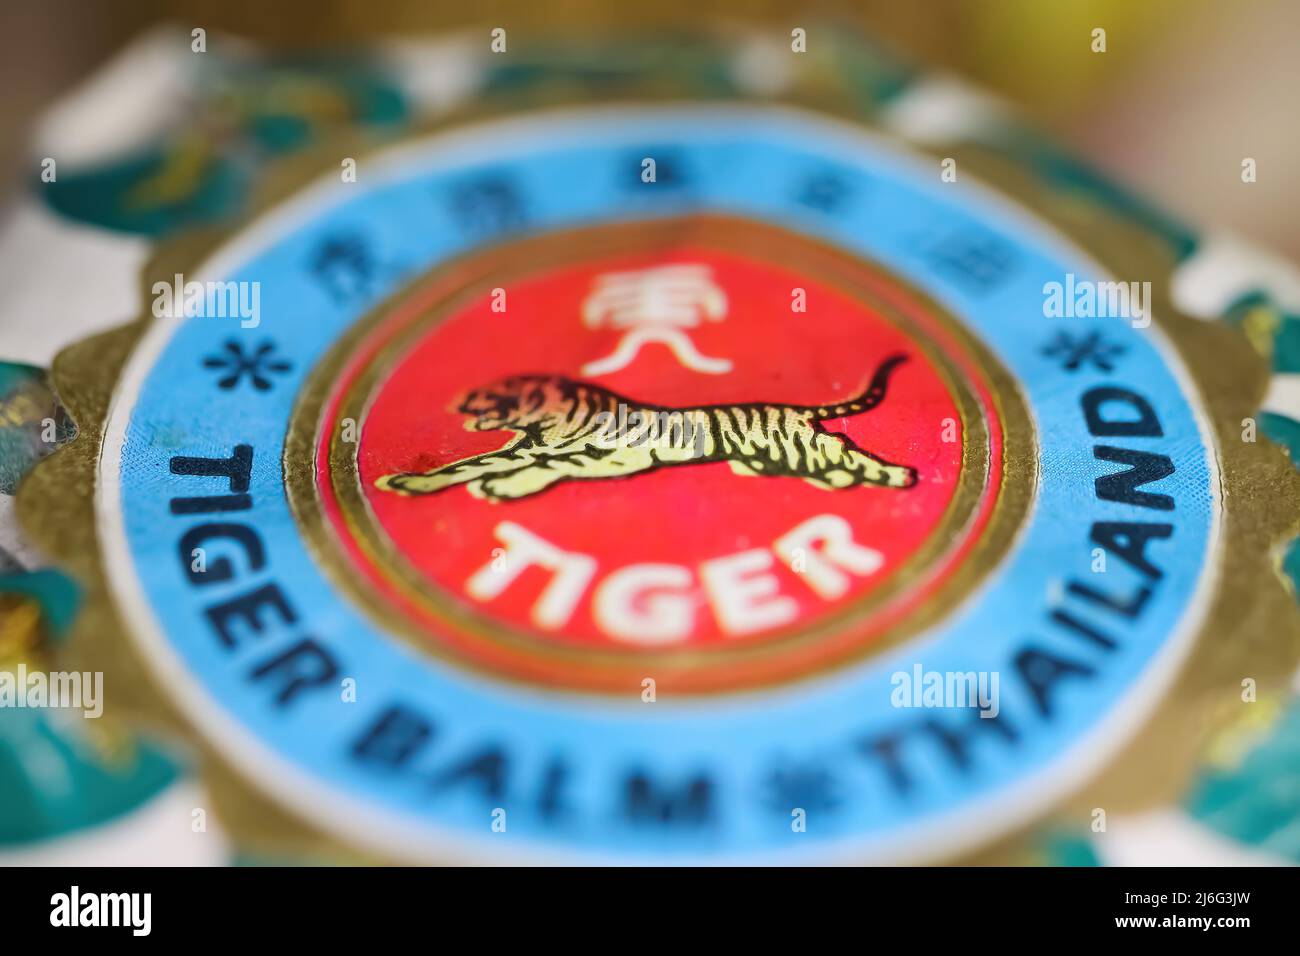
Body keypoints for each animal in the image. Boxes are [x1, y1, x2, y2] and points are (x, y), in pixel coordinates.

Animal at [375, 354, 918, 502]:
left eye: (498, 389)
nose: (461, 402)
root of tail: (799, 410)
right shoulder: (517, 449)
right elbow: (462, 467)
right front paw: (412, 483)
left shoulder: (619, 459)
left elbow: (555, 467)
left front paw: (505, 488)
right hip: (771, 459)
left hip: (800, 445)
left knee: (847, 448)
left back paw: (897, 476)